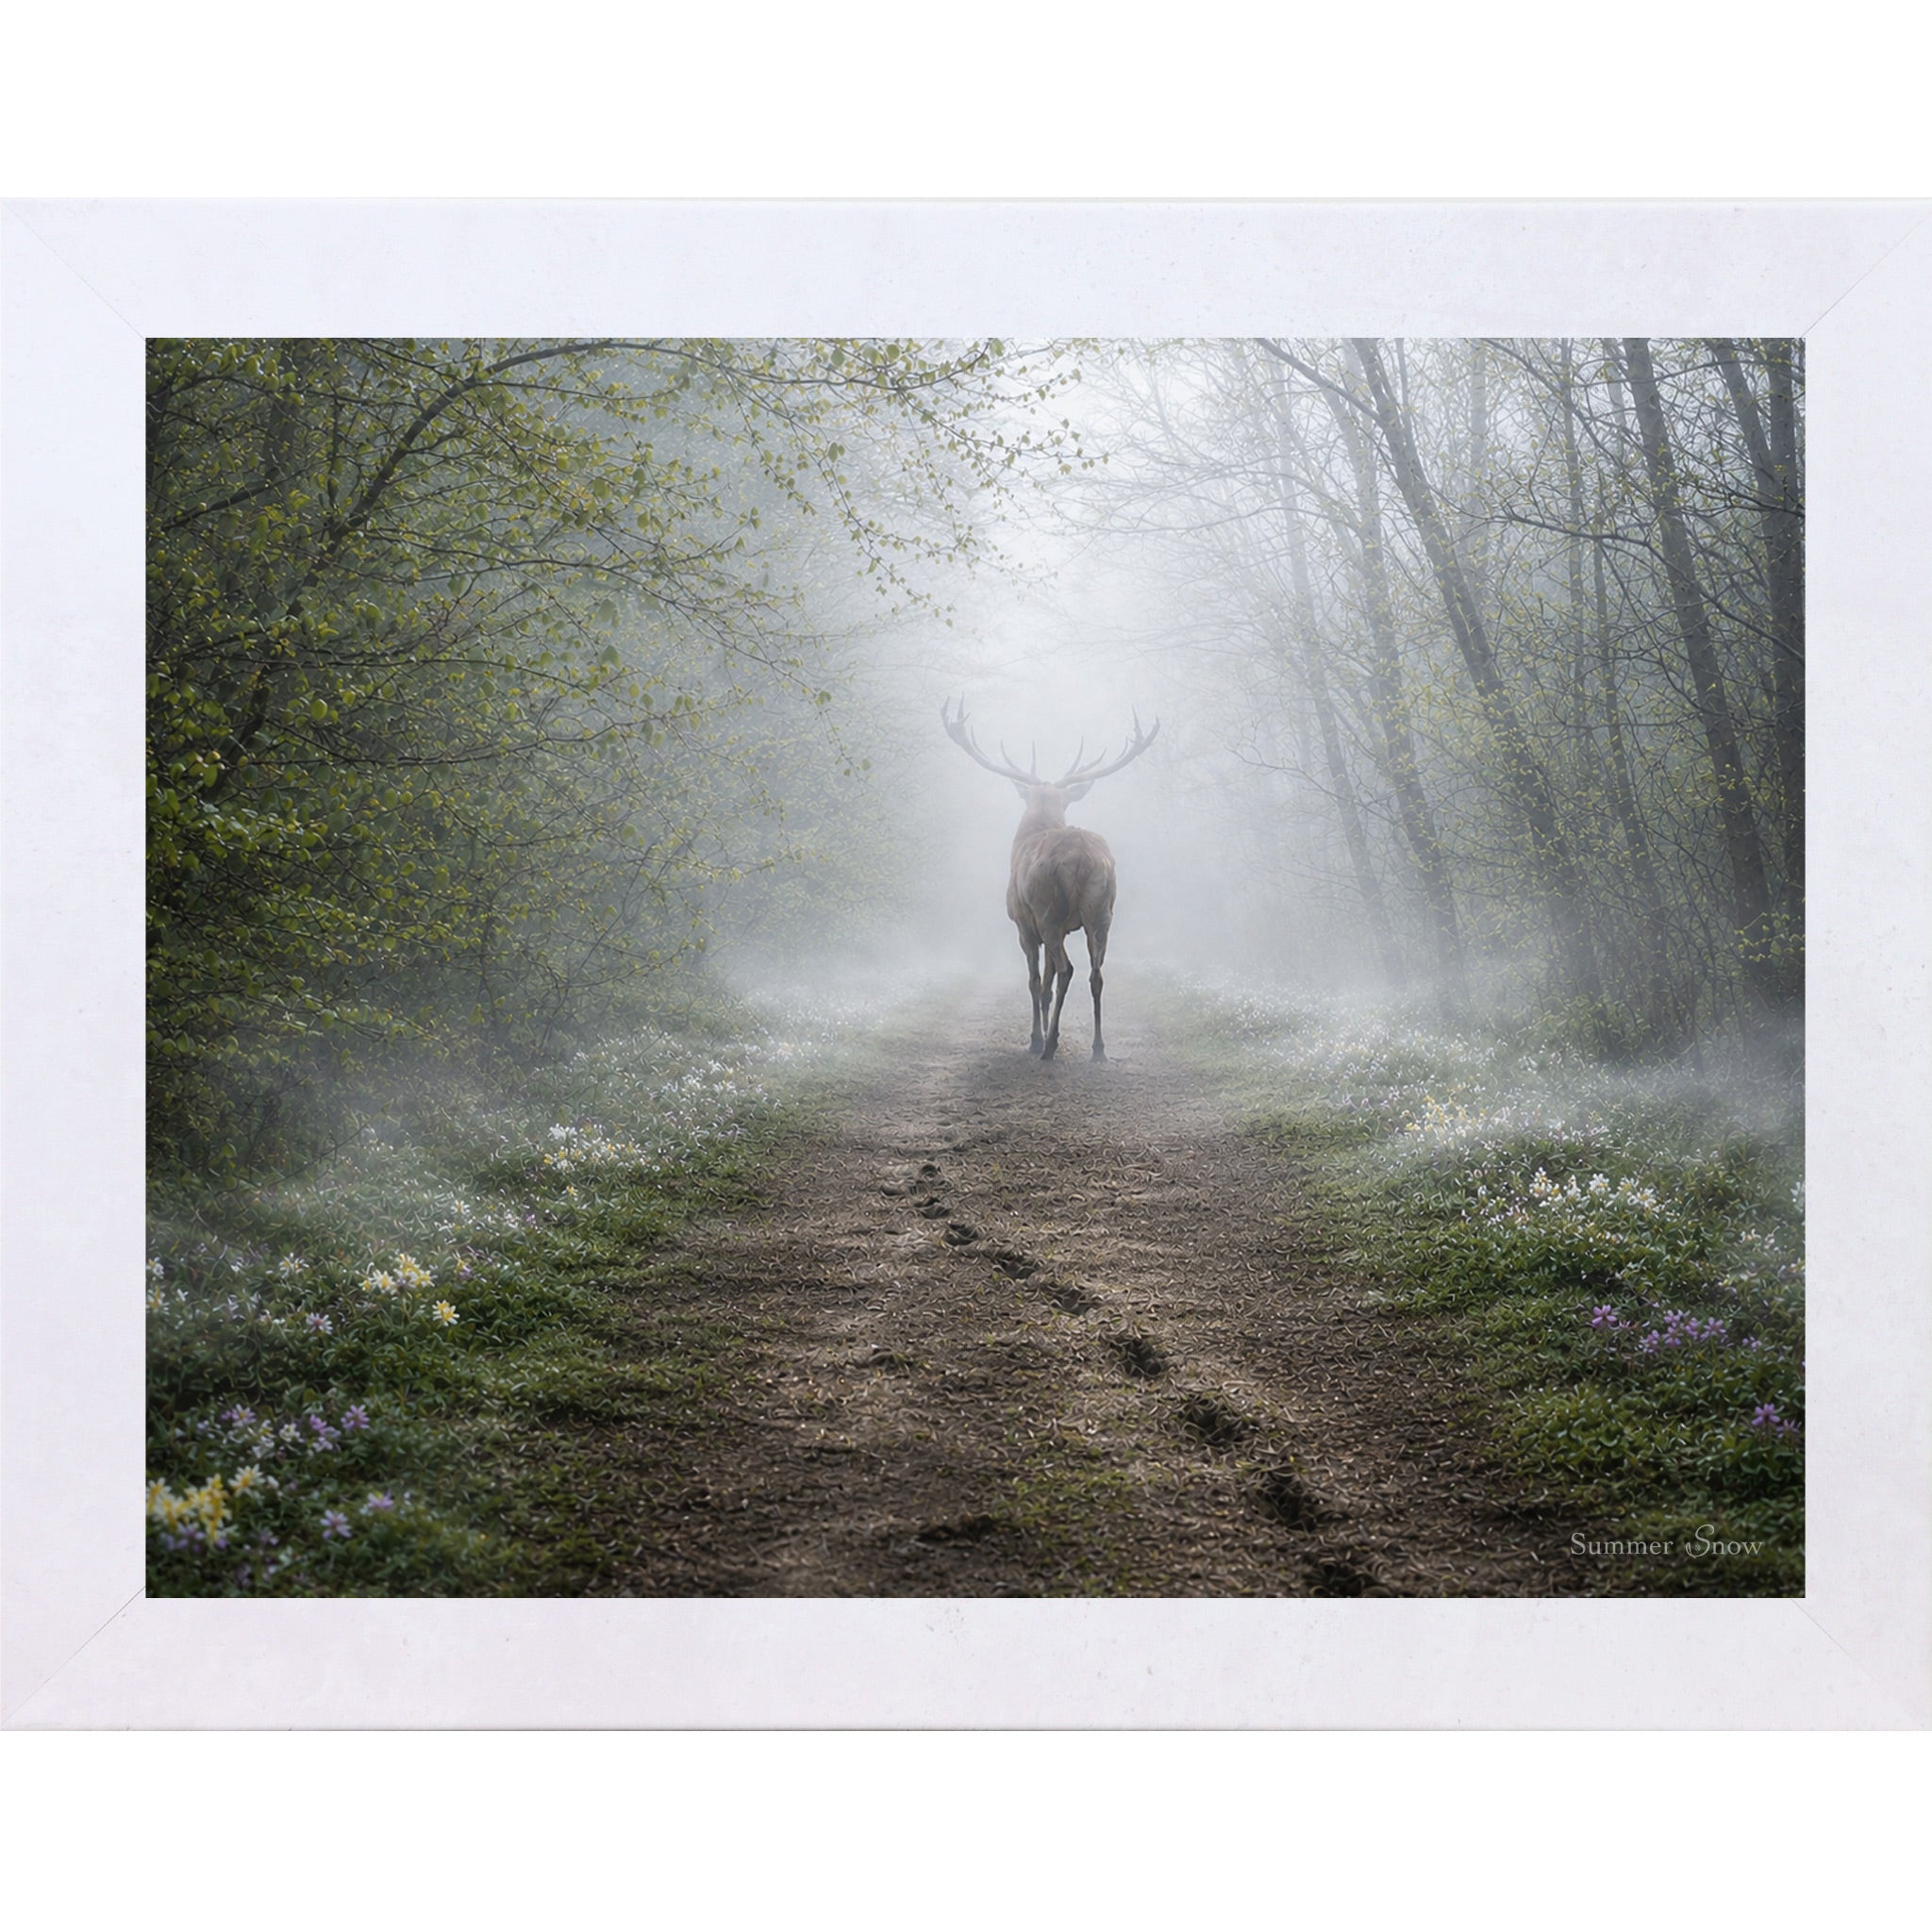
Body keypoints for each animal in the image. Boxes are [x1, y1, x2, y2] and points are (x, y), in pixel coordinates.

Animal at [942, 698, 1160, 1062]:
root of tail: (1084, 857)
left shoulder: (1023, 923)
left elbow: (1034, 981)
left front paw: (1035, 1038)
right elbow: (1045, 984)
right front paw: (1042, 1033)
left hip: (1048, 911)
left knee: (1067, 969)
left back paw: (1051, 1046)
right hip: (1102, 911)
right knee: (1096, 973)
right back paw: (1098, 1049)